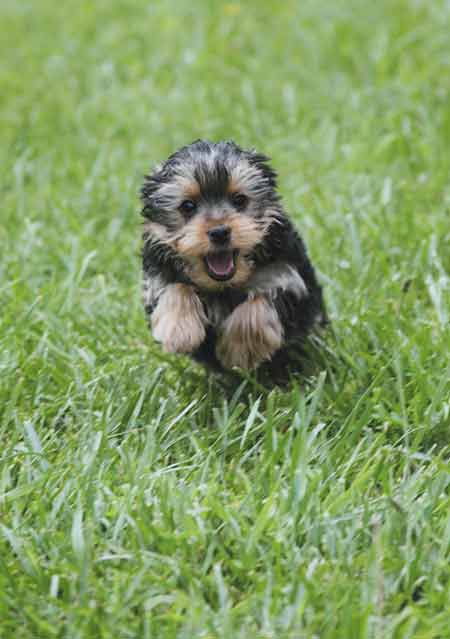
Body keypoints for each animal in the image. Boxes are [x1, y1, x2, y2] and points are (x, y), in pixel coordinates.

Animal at [140, 138, 324, 372]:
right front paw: (178, 330)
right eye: (188, 206)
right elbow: (176, 287)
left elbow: (261, 298)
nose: (219, 232)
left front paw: (241, 351)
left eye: (239, 200)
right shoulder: (156, 275)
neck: (223, 286)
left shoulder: (288, 277)